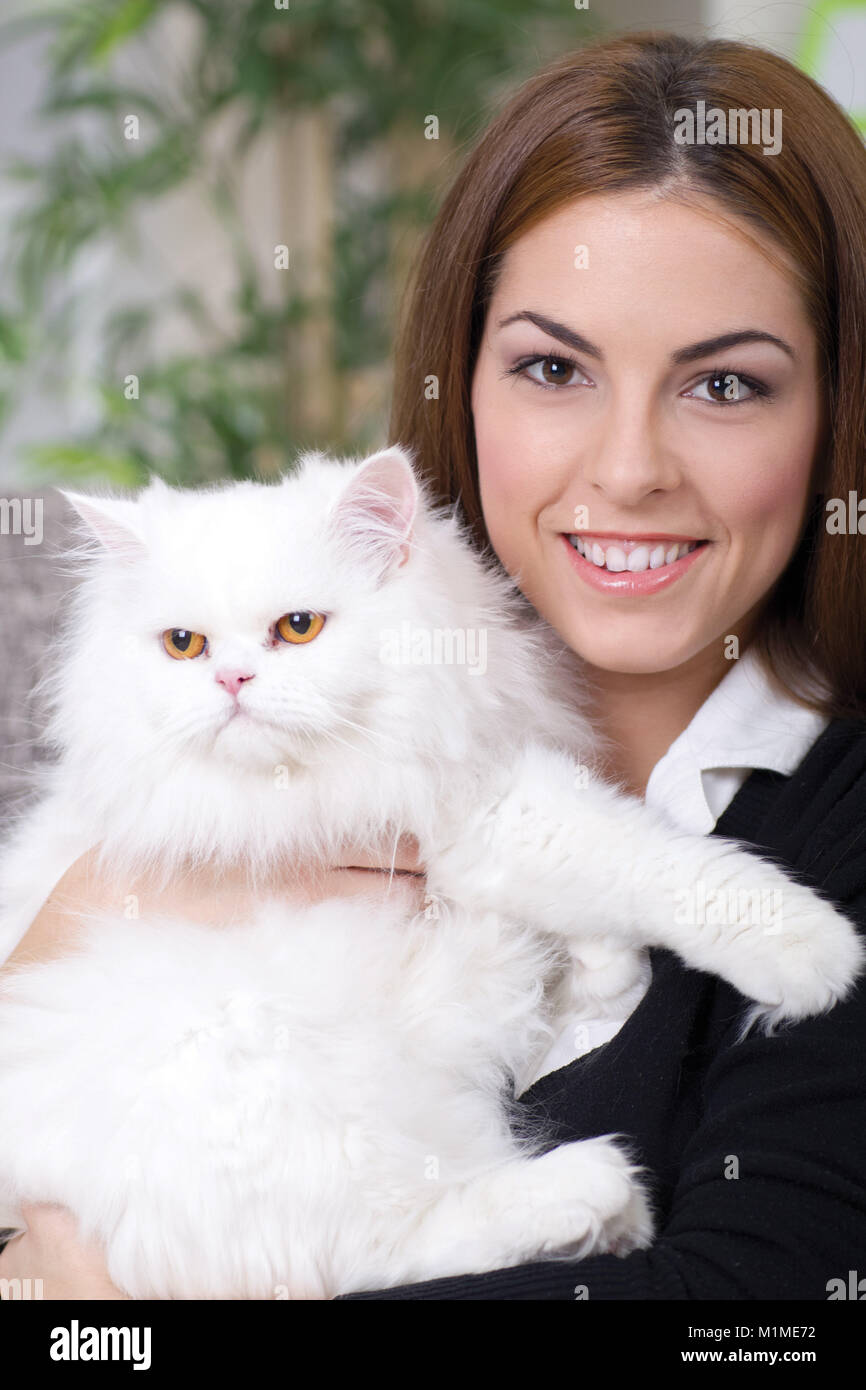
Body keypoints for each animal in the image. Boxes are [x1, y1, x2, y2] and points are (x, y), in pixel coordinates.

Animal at [0, 447, 861, 1301]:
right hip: (264, 1072)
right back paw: (595, 1194)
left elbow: (598, 911)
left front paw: (607, 971)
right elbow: (653, 861)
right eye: (184, 645)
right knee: (376, 1246)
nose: (232, 683)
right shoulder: (482, 819)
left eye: (298, 629)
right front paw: (822, 954)